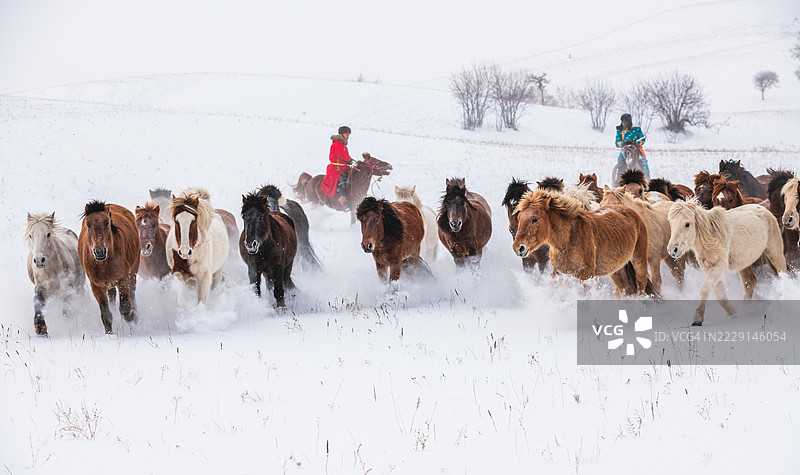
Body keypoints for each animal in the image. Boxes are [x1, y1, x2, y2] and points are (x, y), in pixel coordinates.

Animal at [78, 201, 140, 334]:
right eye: (88, 224)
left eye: (107, 222)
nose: (99, 251)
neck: (104, 264)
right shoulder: (96, 286)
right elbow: (106, 314)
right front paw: (109, 334)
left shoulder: (123, 280)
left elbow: (126, 309)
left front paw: (135, 326)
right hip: (110, 285)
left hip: (133, 272)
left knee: (132, 295)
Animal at [512, 190, 652, 296]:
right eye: (519, 218)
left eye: (534, 219)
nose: (518, 248)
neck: (568, 240)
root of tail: (631, 212)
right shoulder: (559, 272)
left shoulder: (586, 276)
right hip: (617, 269)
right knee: (624, 289)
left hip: (638, 260)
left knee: (641, 285)